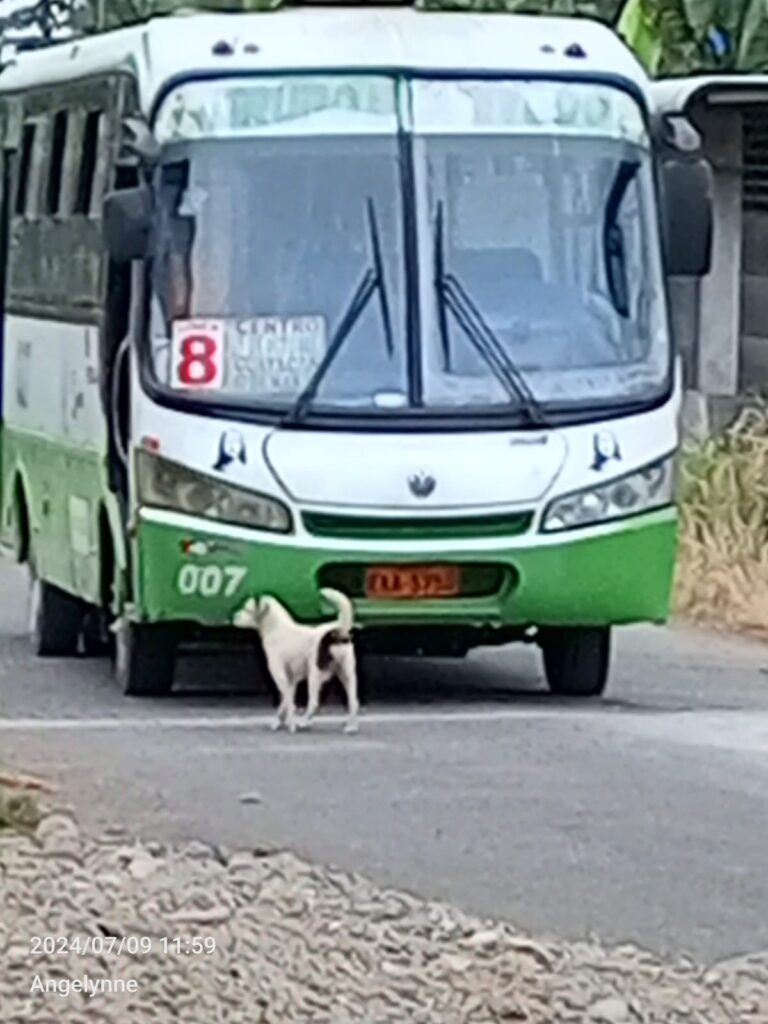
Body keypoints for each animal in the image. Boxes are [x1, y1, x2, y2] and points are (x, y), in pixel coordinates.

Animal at [233, 589, 360, 733]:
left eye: (247, 609)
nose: (233, 617)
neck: (277, 629)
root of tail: (336, 630)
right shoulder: (291, 679)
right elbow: (285, 701)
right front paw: (278, 722)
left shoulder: (279, 674)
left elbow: (289, 702)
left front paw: (291, 725)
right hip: (347, 674)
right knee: (354, 702)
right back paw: (351, 727)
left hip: (314, 675)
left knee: (314, 703)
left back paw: (303, 722)